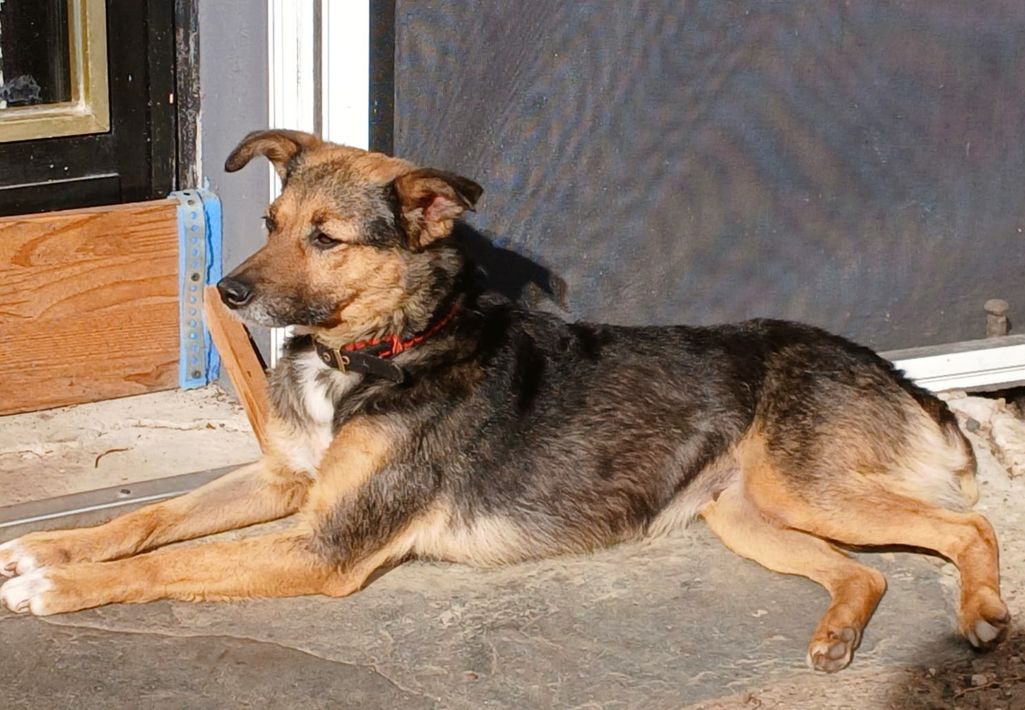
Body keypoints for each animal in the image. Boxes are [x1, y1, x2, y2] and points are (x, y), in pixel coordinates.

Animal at [0, 130, 1009, 672]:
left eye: (326, 239)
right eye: (271, 224)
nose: (229, 293)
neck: (377, 353)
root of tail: (901, 378)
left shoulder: (326, 542)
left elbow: (171, 561)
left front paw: (59, 586)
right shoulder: (288, 483)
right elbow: (150, 521)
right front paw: (50, 546)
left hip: (803, 487)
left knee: (966, 527)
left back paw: (982, 613)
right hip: (744, 513)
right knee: (865, 572)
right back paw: (837, 636)